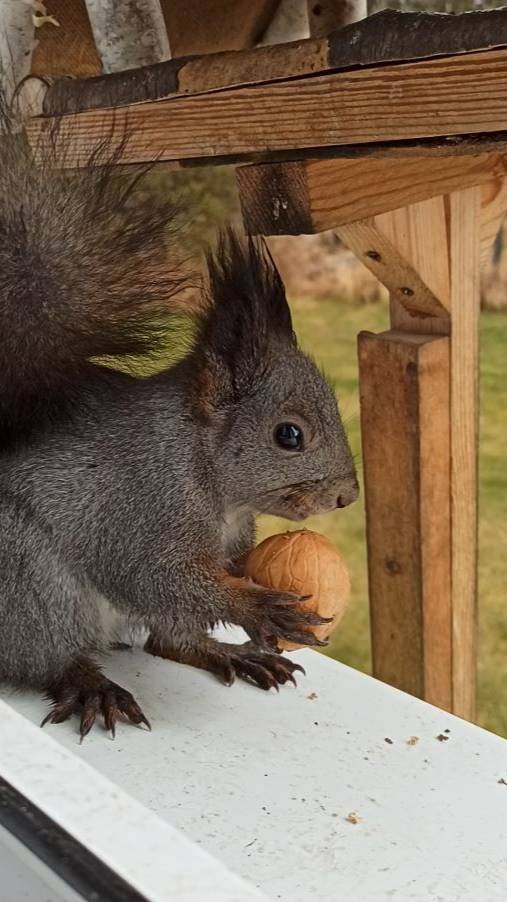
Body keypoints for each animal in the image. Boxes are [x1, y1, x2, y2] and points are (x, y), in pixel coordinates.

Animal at [0, 90, 360, 740]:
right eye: (288, 435)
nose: (346, 496)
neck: (206, 472)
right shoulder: (141, 509)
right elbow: (163, 578)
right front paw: (255, 605)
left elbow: (213, 575)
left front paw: (248, 598)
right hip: (29, 582)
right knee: (50, 654)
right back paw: (90, 683)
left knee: (167, 643)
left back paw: (228, 654)